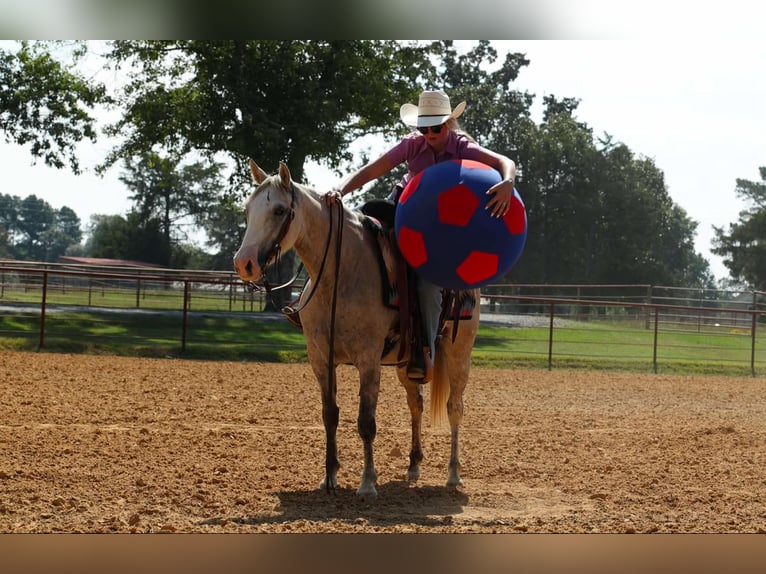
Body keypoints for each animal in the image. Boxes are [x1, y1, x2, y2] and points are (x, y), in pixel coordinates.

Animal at [233, 159, 479, 497]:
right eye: (247, 209)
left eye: (280, 210)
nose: (244, 263)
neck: (341, 272)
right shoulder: (320, 358)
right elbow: (330, 415)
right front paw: (329, 476)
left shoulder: (368, 359)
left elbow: (366, 421)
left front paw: (367, 482)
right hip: (407, 362)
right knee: (415, 404)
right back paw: (413, 465)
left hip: (459, 353)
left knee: (455, 407)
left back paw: (454, 474)